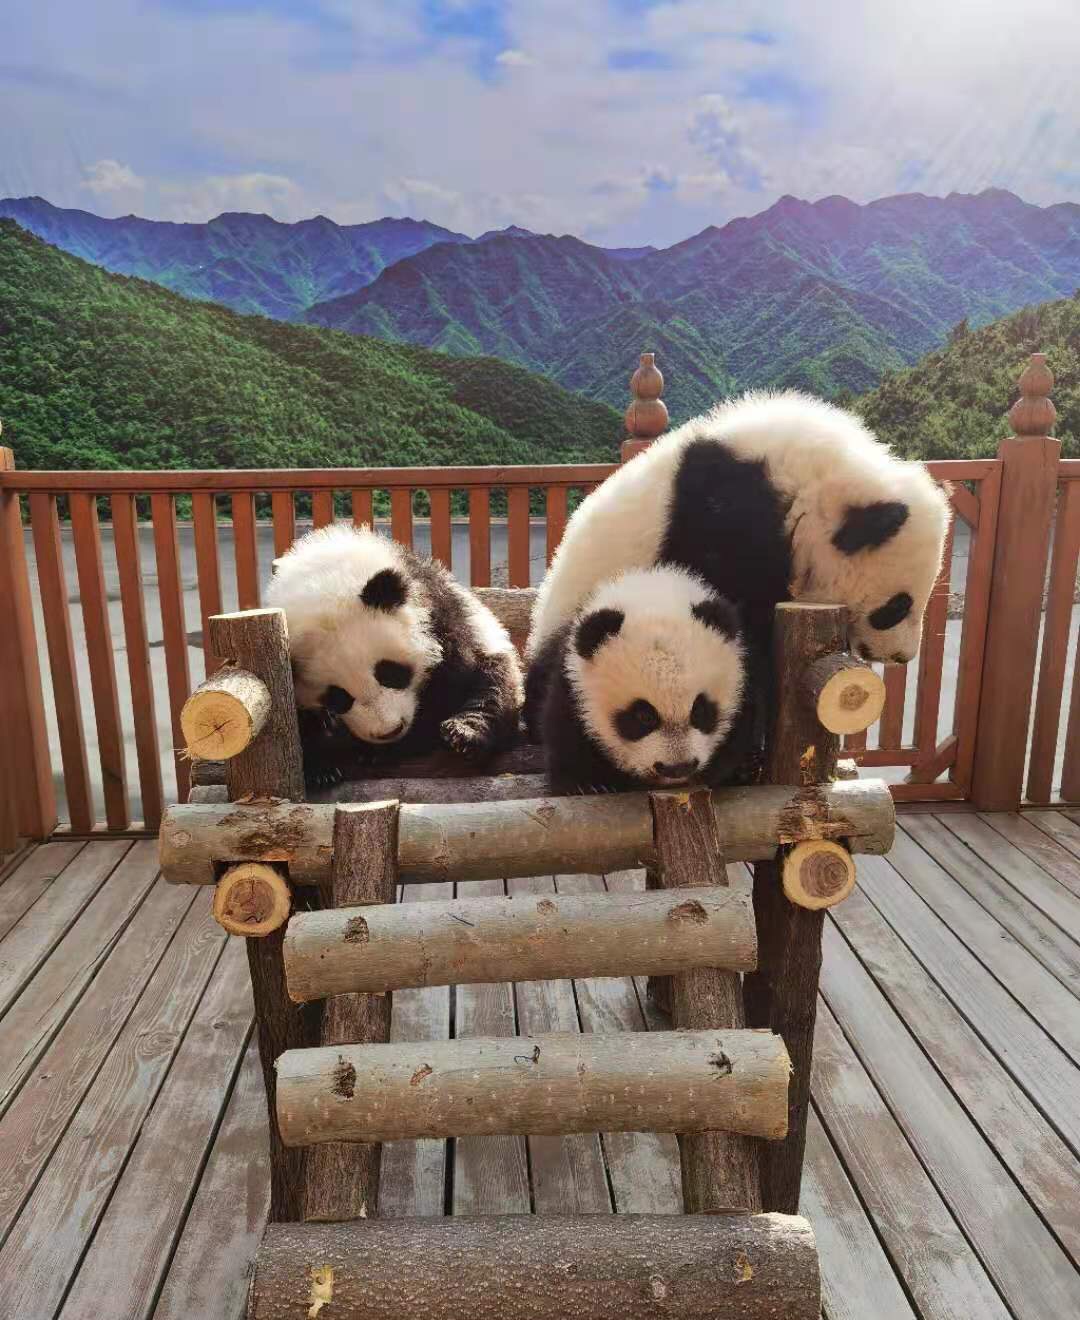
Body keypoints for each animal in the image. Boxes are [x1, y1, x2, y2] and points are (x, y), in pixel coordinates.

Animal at [266, 524, 524, 788]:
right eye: (337, 696)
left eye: (390, 672)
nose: (390, 732)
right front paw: (322, 768)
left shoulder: (438, 612)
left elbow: (453, 679)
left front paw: (382, 750)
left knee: (493, 687)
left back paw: (463, 733)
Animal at [540, 565, 750, 794]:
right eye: (644, 716)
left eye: (699, 709)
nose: (678, 768)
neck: (650, 592)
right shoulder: (571, 684)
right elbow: (566, 733)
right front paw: (588, 785)